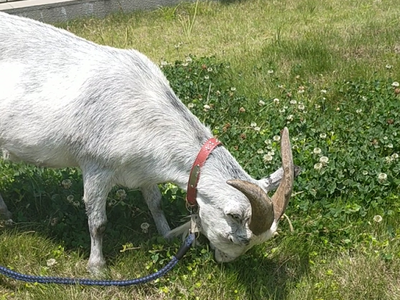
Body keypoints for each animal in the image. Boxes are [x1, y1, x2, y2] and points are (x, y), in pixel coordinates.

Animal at [0, 12, 294, 274]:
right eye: (237, 238)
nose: (223, 260)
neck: (142, 106)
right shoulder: (96, 166)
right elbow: (98, 222)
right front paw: (97, 266)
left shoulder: (144, 167)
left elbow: (155, 202)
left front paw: (166, 233)